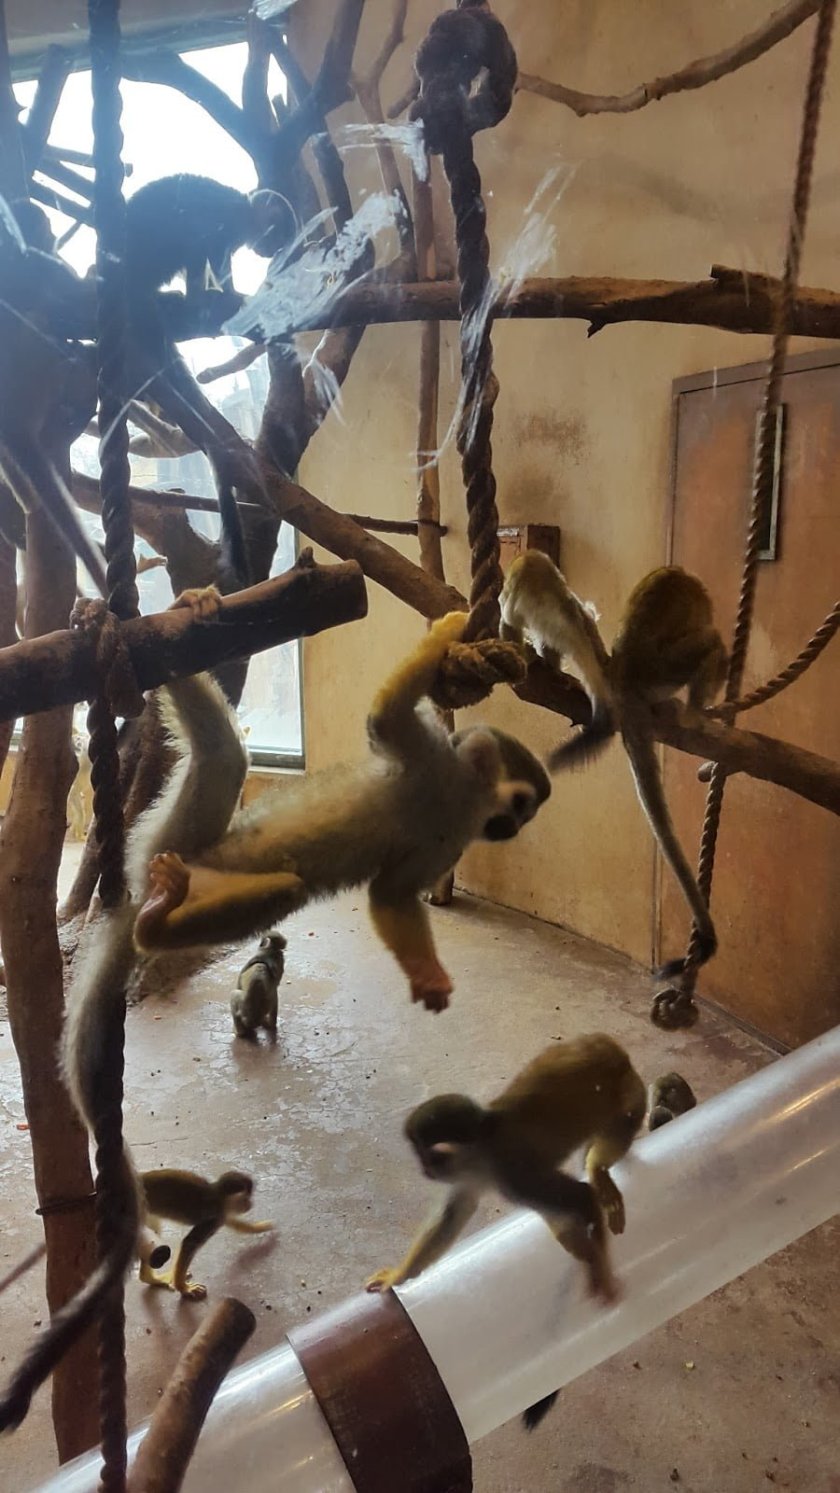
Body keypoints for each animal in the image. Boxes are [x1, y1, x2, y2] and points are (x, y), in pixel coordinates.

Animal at [138, 1167, 273, 1301]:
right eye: (245, 1199)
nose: (250, 1204)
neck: (219, 1197)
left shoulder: (222, 1214)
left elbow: (234, 1223)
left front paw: (262, 1227)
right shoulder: (215, 1218)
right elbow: (190, 1243)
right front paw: (184, 1288)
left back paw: (150, 1278)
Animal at [366, 1033, 647, 1314]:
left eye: (426, 1158)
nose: (424, 1171)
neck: (483, 1150)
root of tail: (607, 1046)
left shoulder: (512, 1175)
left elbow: (581, 1196)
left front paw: (600, 1274)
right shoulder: (472, 1174)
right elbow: (453, 1215)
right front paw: (397, 1275)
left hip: (631, 1092)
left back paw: (597, 1171)